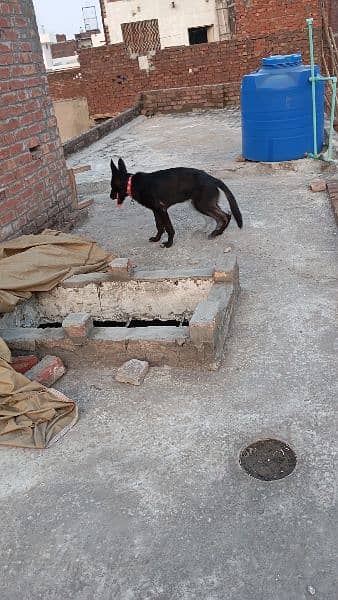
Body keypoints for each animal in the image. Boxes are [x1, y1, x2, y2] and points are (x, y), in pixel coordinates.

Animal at [111, 159, 243, 248]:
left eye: (112, 186)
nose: (111, 196)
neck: (132, 183)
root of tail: (212, 178)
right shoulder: (156, 210)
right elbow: (159, 226)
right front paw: (157, 238)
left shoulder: (162, 209)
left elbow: (169, 228)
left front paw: (169, 243)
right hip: (205, 204)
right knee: (226, 215)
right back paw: (218, 232)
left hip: (201, 205)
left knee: (224, 216)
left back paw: (217, 232)